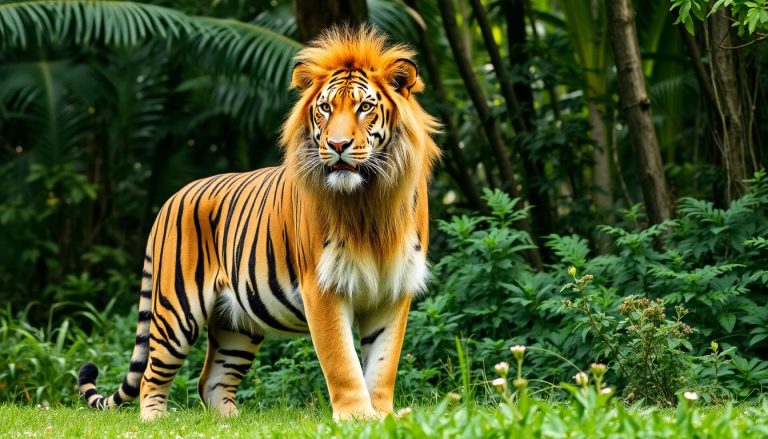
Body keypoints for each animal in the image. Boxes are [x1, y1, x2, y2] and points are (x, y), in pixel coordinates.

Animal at [77, 25, 441, 421]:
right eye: (325, 108)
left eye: (365, 107)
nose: (337, 144)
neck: (369, 199)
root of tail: (171, 199)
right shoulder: (322, 287)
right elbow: (342, 361)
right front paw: (356, 418)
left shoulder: (393, 289)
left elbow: (383, 364)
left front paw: (383, 417)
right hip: (176, 311)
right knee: (151, 375)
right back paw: (154, 419)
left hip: (237, 323)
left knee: (211, 380)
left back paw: (232, 422)